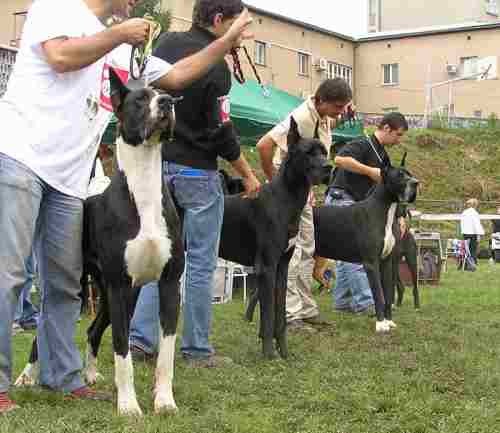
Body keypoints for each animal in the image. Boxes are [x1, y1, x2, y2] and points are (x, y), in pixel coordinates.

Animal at [219, 117, 332, 358]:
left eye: (324, 151)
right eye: (308, 153)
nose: (329, 167)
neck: (287, 198)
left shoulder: (282, 267)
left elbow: (280, 315)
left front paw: (284, 353)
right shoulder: (267, 267)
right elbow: (268, 315)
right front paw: (269, 355)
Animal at [316, 157, 418, 332]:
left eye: (409, 174)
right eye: (399, 175)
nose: (416, 183)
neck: (383, 211)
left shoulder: (386, 262)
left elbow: (388, 294)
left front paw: (389, 321)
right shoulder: (371, 263)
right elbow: (378, 294)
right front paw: (380, 324)